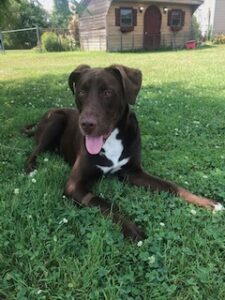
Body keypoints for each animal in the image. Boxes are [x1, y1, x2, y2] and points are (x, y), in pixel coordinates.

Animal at [22, 65, 223, 241]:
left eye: (107, 92)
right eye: (82, 92)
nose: (86, 124)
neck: (111, 139)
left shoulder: (133, 172)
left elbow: (171, 186)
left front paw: (207, 202)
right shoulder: (74, 185)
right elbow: (104, 203)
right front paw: (132, 229)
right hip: (55, 120)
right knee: (34, 150)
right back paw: (31, 167)